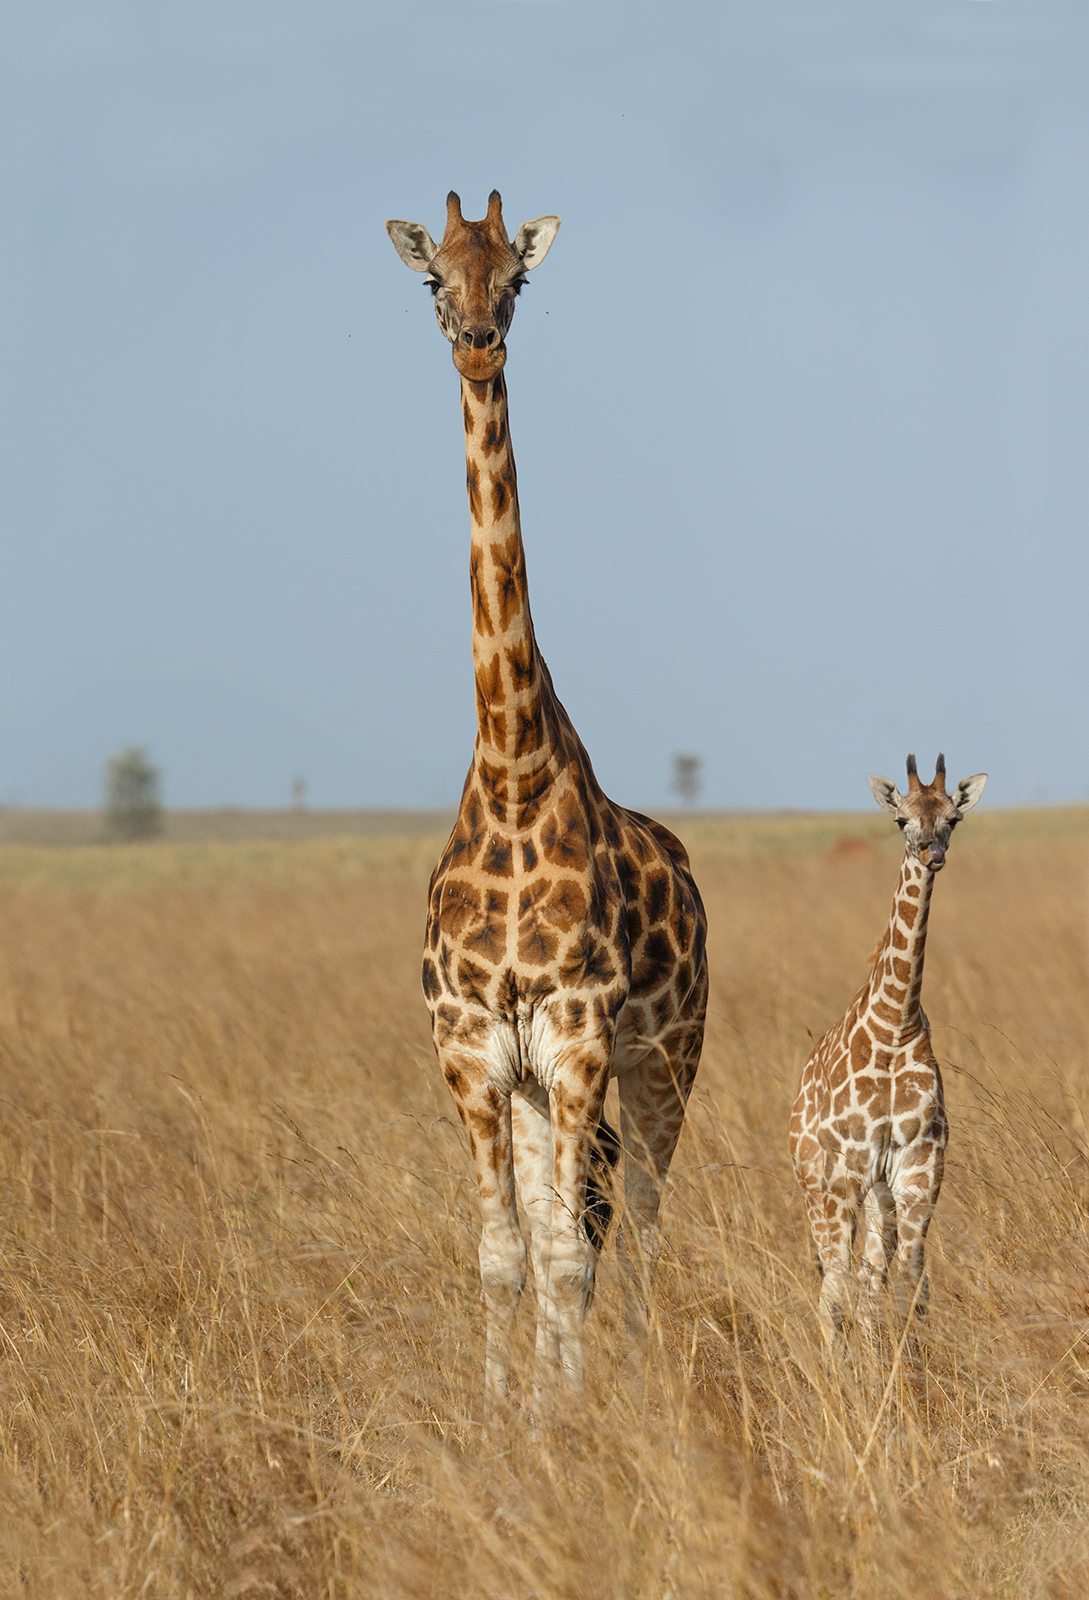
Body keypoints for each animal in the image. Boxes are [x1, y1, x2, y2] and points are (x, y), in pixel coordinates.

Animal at [386, 191, 708, 1415]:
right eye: (436, 280)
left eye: (515, 280)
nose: (479, 345)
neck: (514, 775)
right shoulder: (476, 1050)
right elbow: (507, 1251)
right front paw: (510, 1418)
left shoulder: (577, 1036)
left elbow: (570, 1249)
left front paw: (567, 1416)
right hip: (539, 1084)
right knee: (575, 1211)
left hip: (668, 1054)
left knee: (646, 1216)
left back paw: (641, 1380)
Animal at [789, 753, 986, 1351]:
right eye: (901, 819)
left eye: (953, 818)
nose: (932, 852)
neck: (895, 1025)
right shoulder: (849, 1166)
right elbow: (843, 1287)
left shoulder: (920, 1164)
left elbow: (909, 1278)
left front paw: (906, 1362)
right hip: (816, 1182)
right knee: (832, 1279)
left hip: (878, 1191)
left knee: (869, 1275)